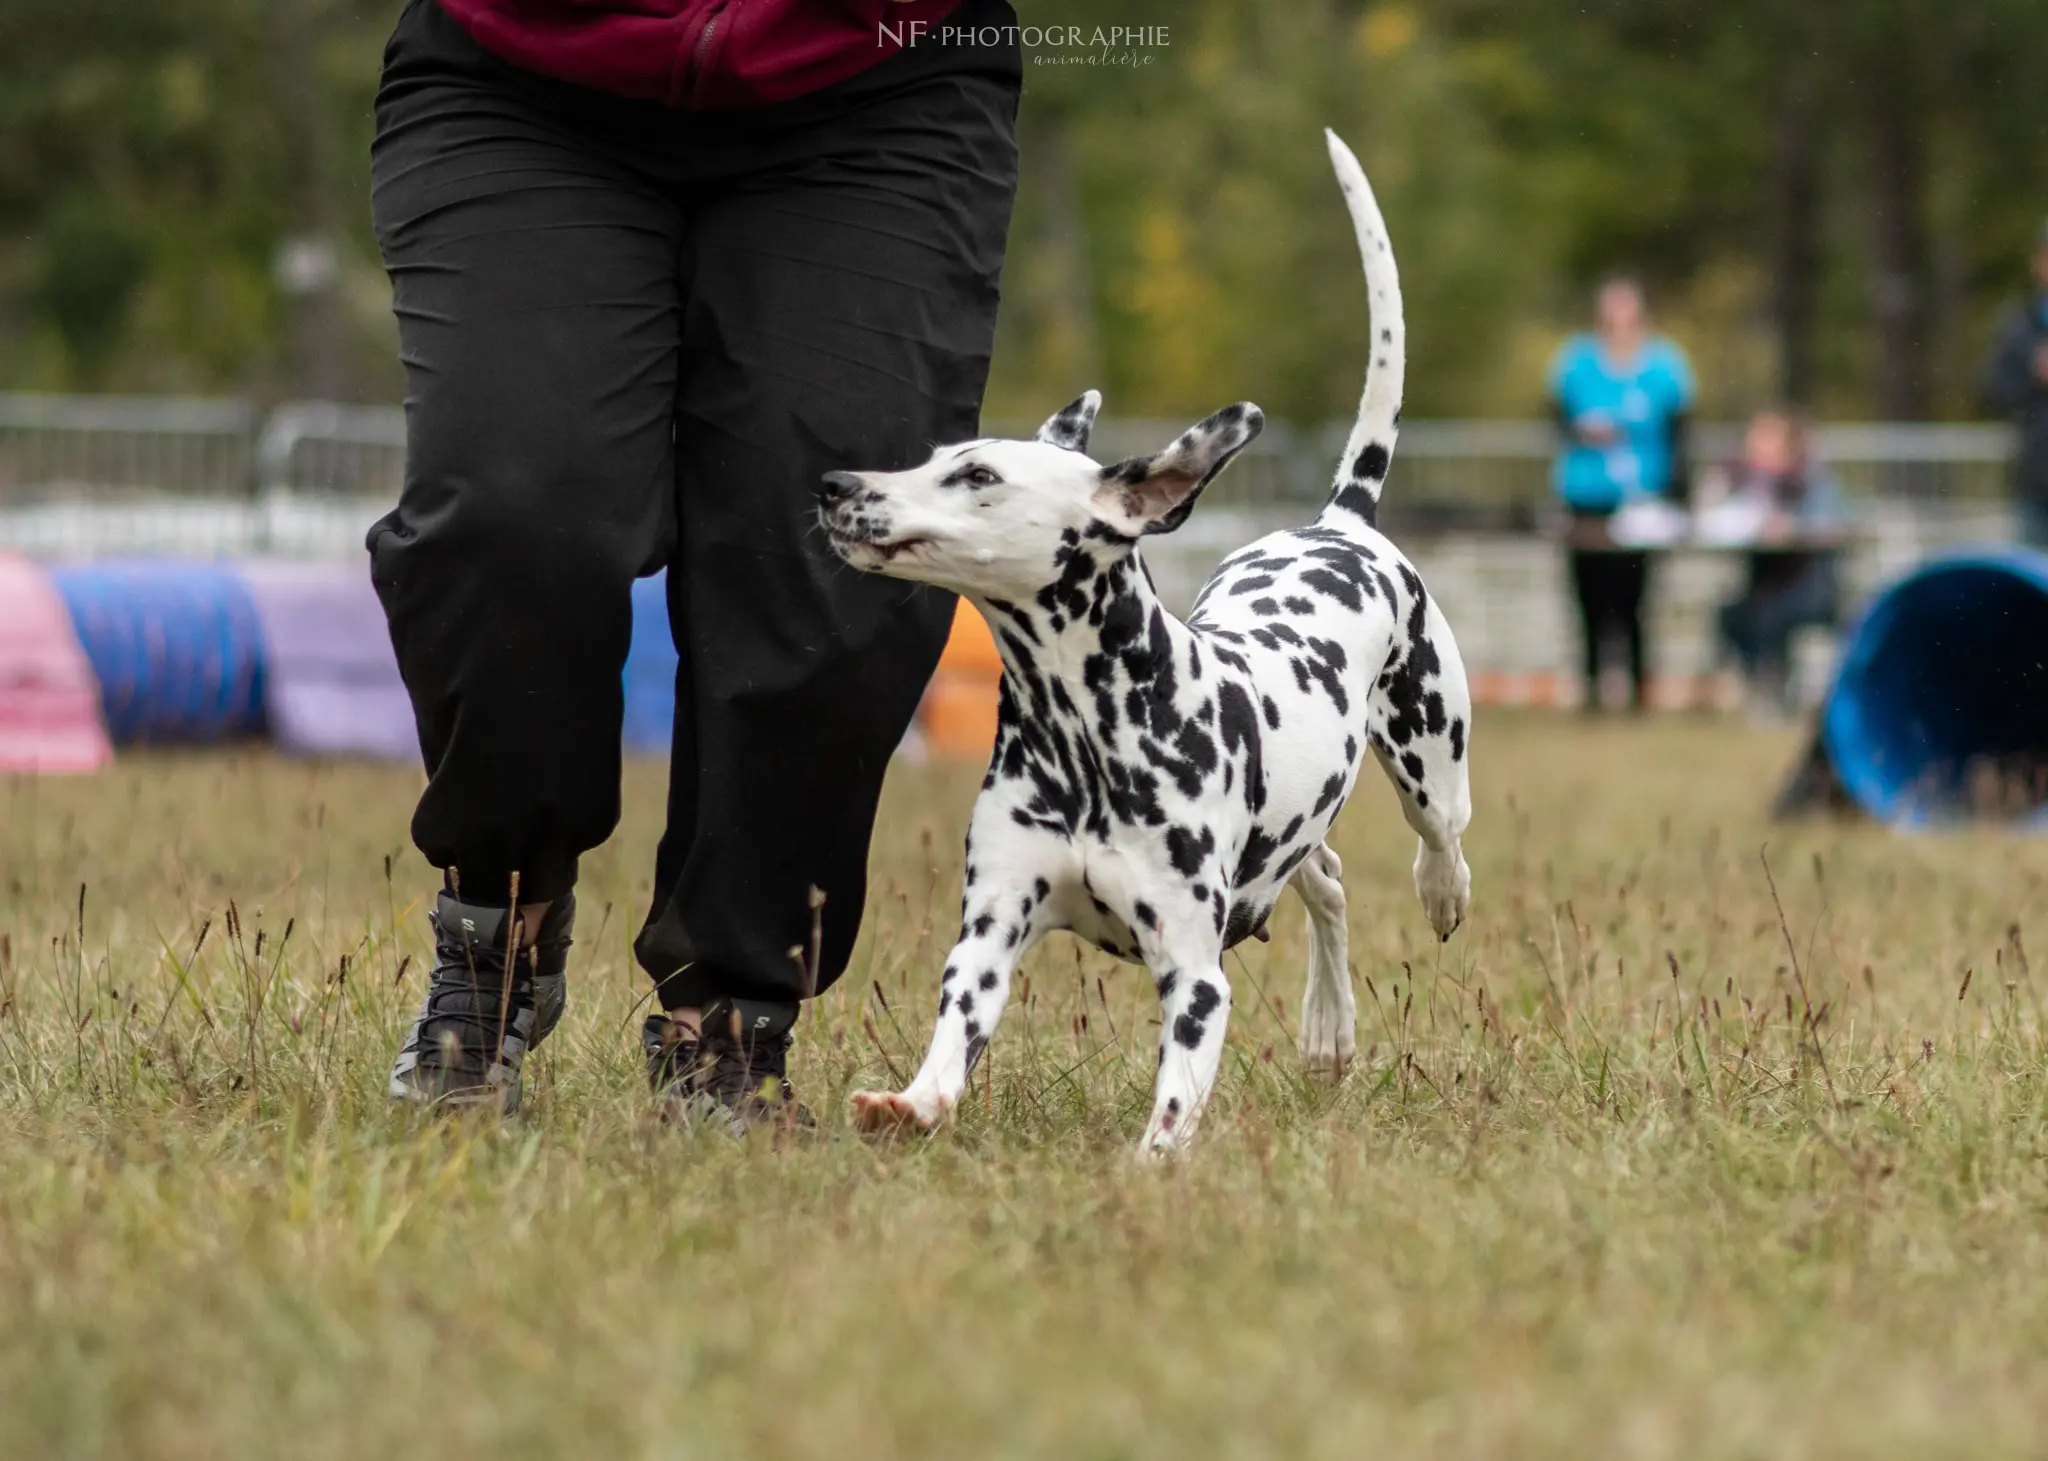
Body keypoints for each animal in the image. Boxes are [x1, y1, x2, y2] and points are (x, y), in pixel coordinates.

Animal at [815, 131, 1474, 1147]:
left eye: (978, 475)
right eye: (930, 457)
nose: (838, 485)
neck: (1090, 735)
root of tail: (1340, 520)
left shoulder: (1196, 978)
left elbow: (1171, 1106)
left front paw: (1152, 1161)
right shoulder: (989, 934)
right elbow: (951, 1044)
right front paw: (912, 1100)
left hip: (1431, 761)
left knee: (1437, 840)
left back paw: (1439, 895)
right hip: (1288, 841)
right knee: (1323, 876)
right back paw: (1328, 1029)